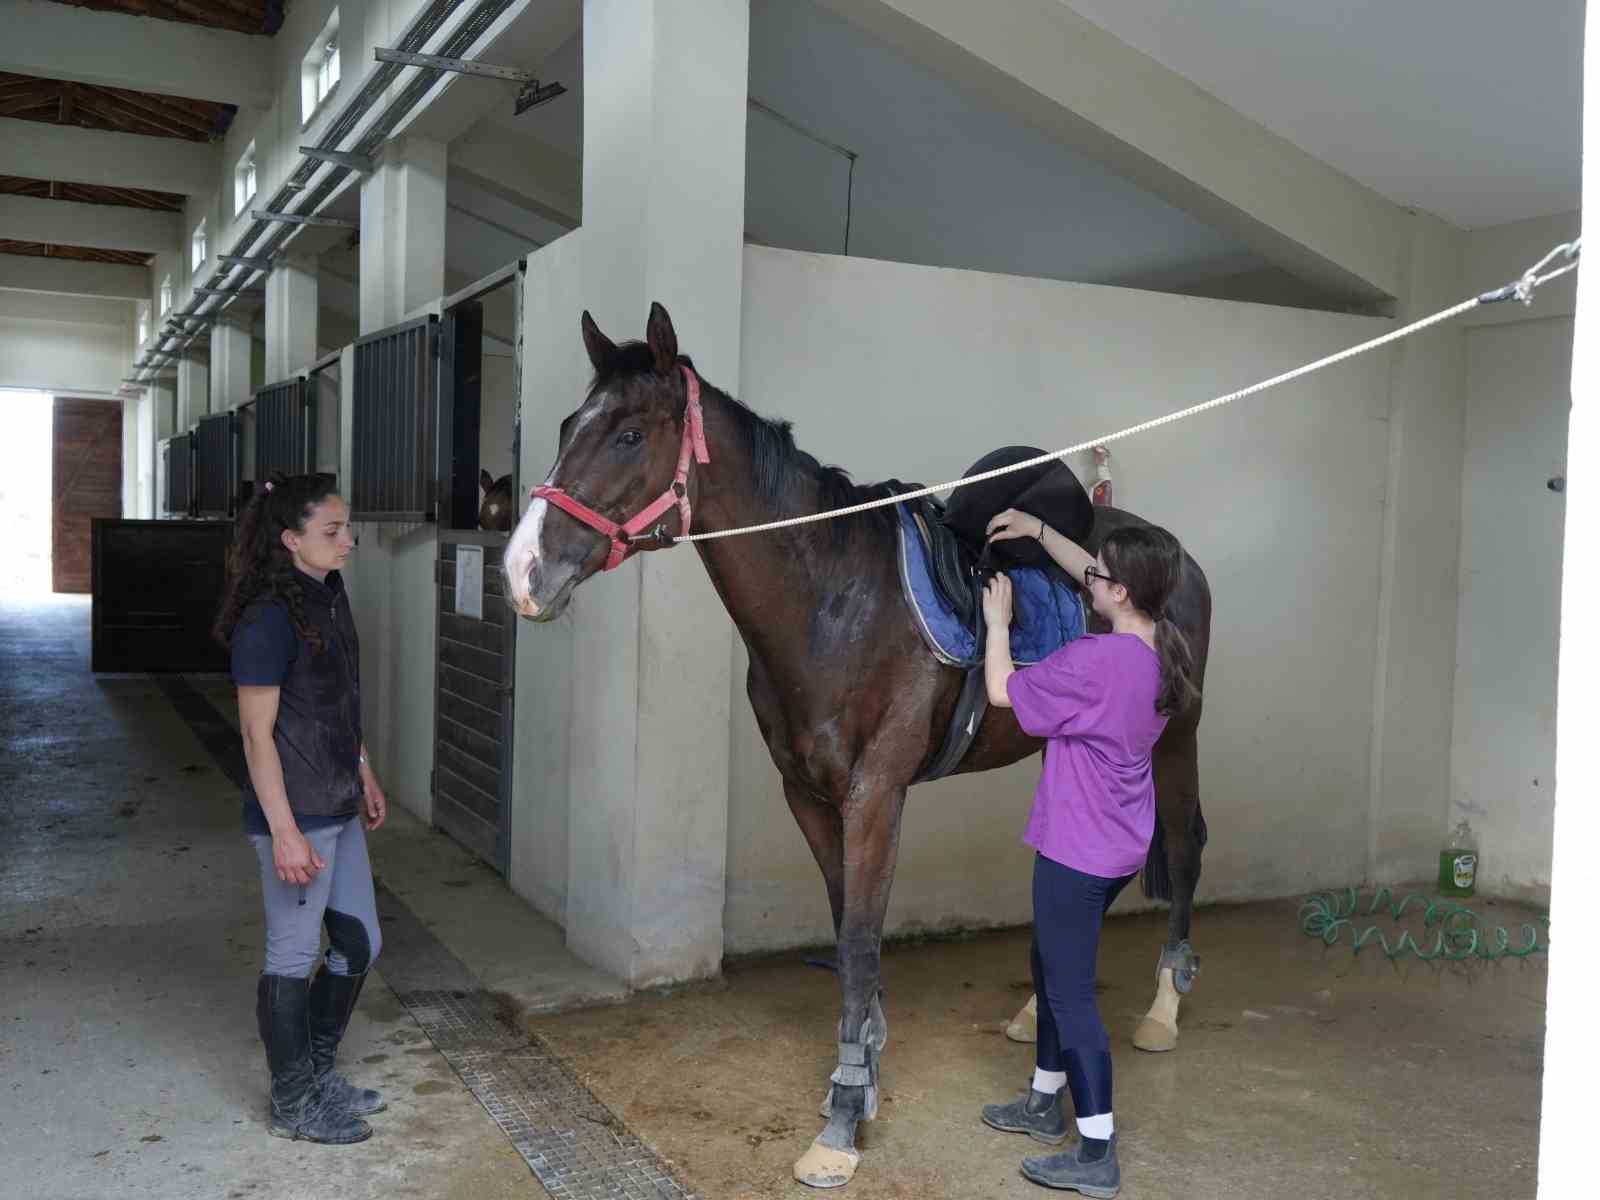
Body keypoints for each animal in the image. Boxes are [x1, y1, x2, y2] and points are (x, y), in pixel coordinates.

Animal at [505, 305, 1203, 1190]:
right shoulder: (808, 793)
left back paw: (1163, 1010)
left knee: (1181, 846)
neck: (834, 599)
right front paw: (863, 1069)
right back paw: (1032, 1010)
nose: (523, 570)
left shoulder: (876, 793)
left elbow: (863, 936)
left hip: (1177, 736)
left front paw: (840, 1119)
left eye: (629, 434)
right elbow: (845, 926)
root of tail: (1169, 550)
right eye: (569, 425)